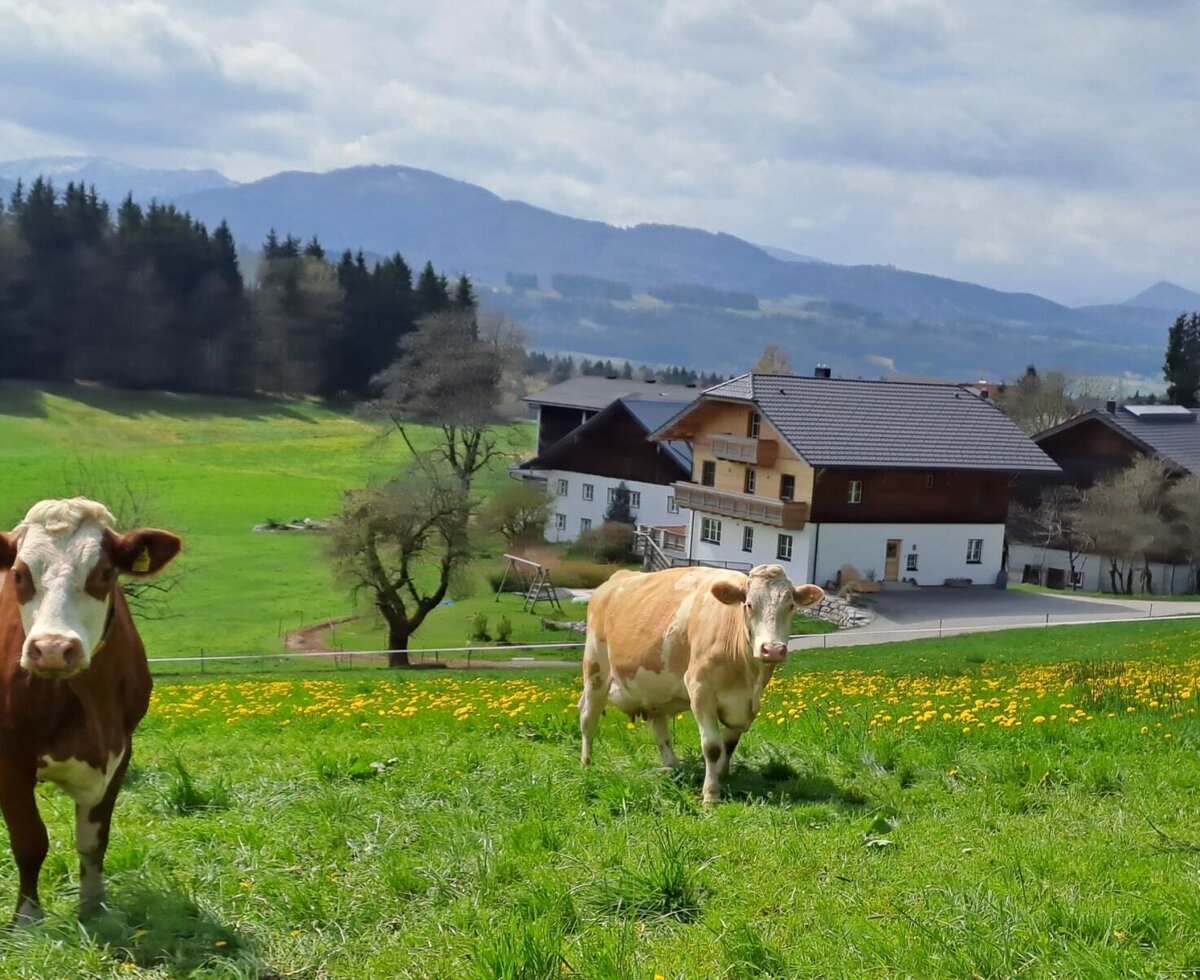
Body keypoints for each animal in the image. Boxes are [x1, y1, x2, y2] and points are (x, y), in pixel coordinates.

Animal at [0, 497, 181, 922]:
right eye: (19, 574)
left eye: (103, 573)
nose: (52, 648)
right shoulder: (9, 758)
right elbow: (29, 841)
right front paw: (27, 919)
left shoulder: (120, 753)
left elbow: (93, 840)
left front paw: (94, 907)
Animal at [580, 563, 823, 804]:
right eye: (749, 605)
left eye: (790, 606)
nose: (772, 650)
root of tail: (616, 577)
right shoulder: (700, 690)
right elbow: (712, 746)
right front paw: (711, 794)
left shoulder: (745, 705)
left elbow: (729, 743)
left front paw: (723, 774)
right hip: (595, 669)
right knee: (588, 717)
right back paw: (586, 763)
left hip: (653, 692)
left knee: (660, 730)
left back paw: (673, 767)